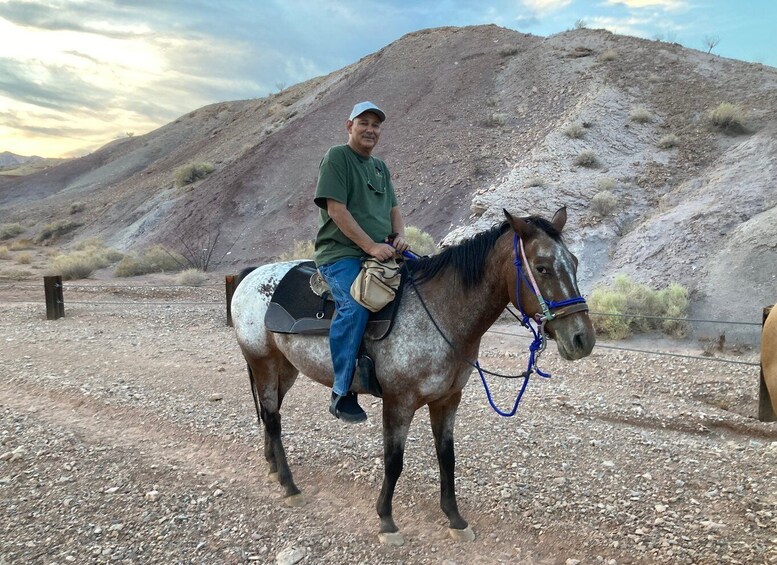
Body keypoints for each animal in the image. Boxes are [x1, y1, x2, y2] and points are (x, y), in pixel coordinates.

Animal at [230, 206, 596, 540]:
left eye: (575, 263)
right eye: (542, 268)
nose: (582, 339)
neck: (439, 312)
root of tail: (250, 276)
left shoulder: (448, 399)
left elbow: (447, 457)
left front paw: (455, 518)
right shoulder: (398, 403)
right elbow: (394, 461)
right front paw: (386, 520)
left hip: (285, 369)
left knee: (272, 414)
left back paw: (273, 467)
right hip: (263, 362)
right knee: (273, 418)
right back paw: (290, 486)